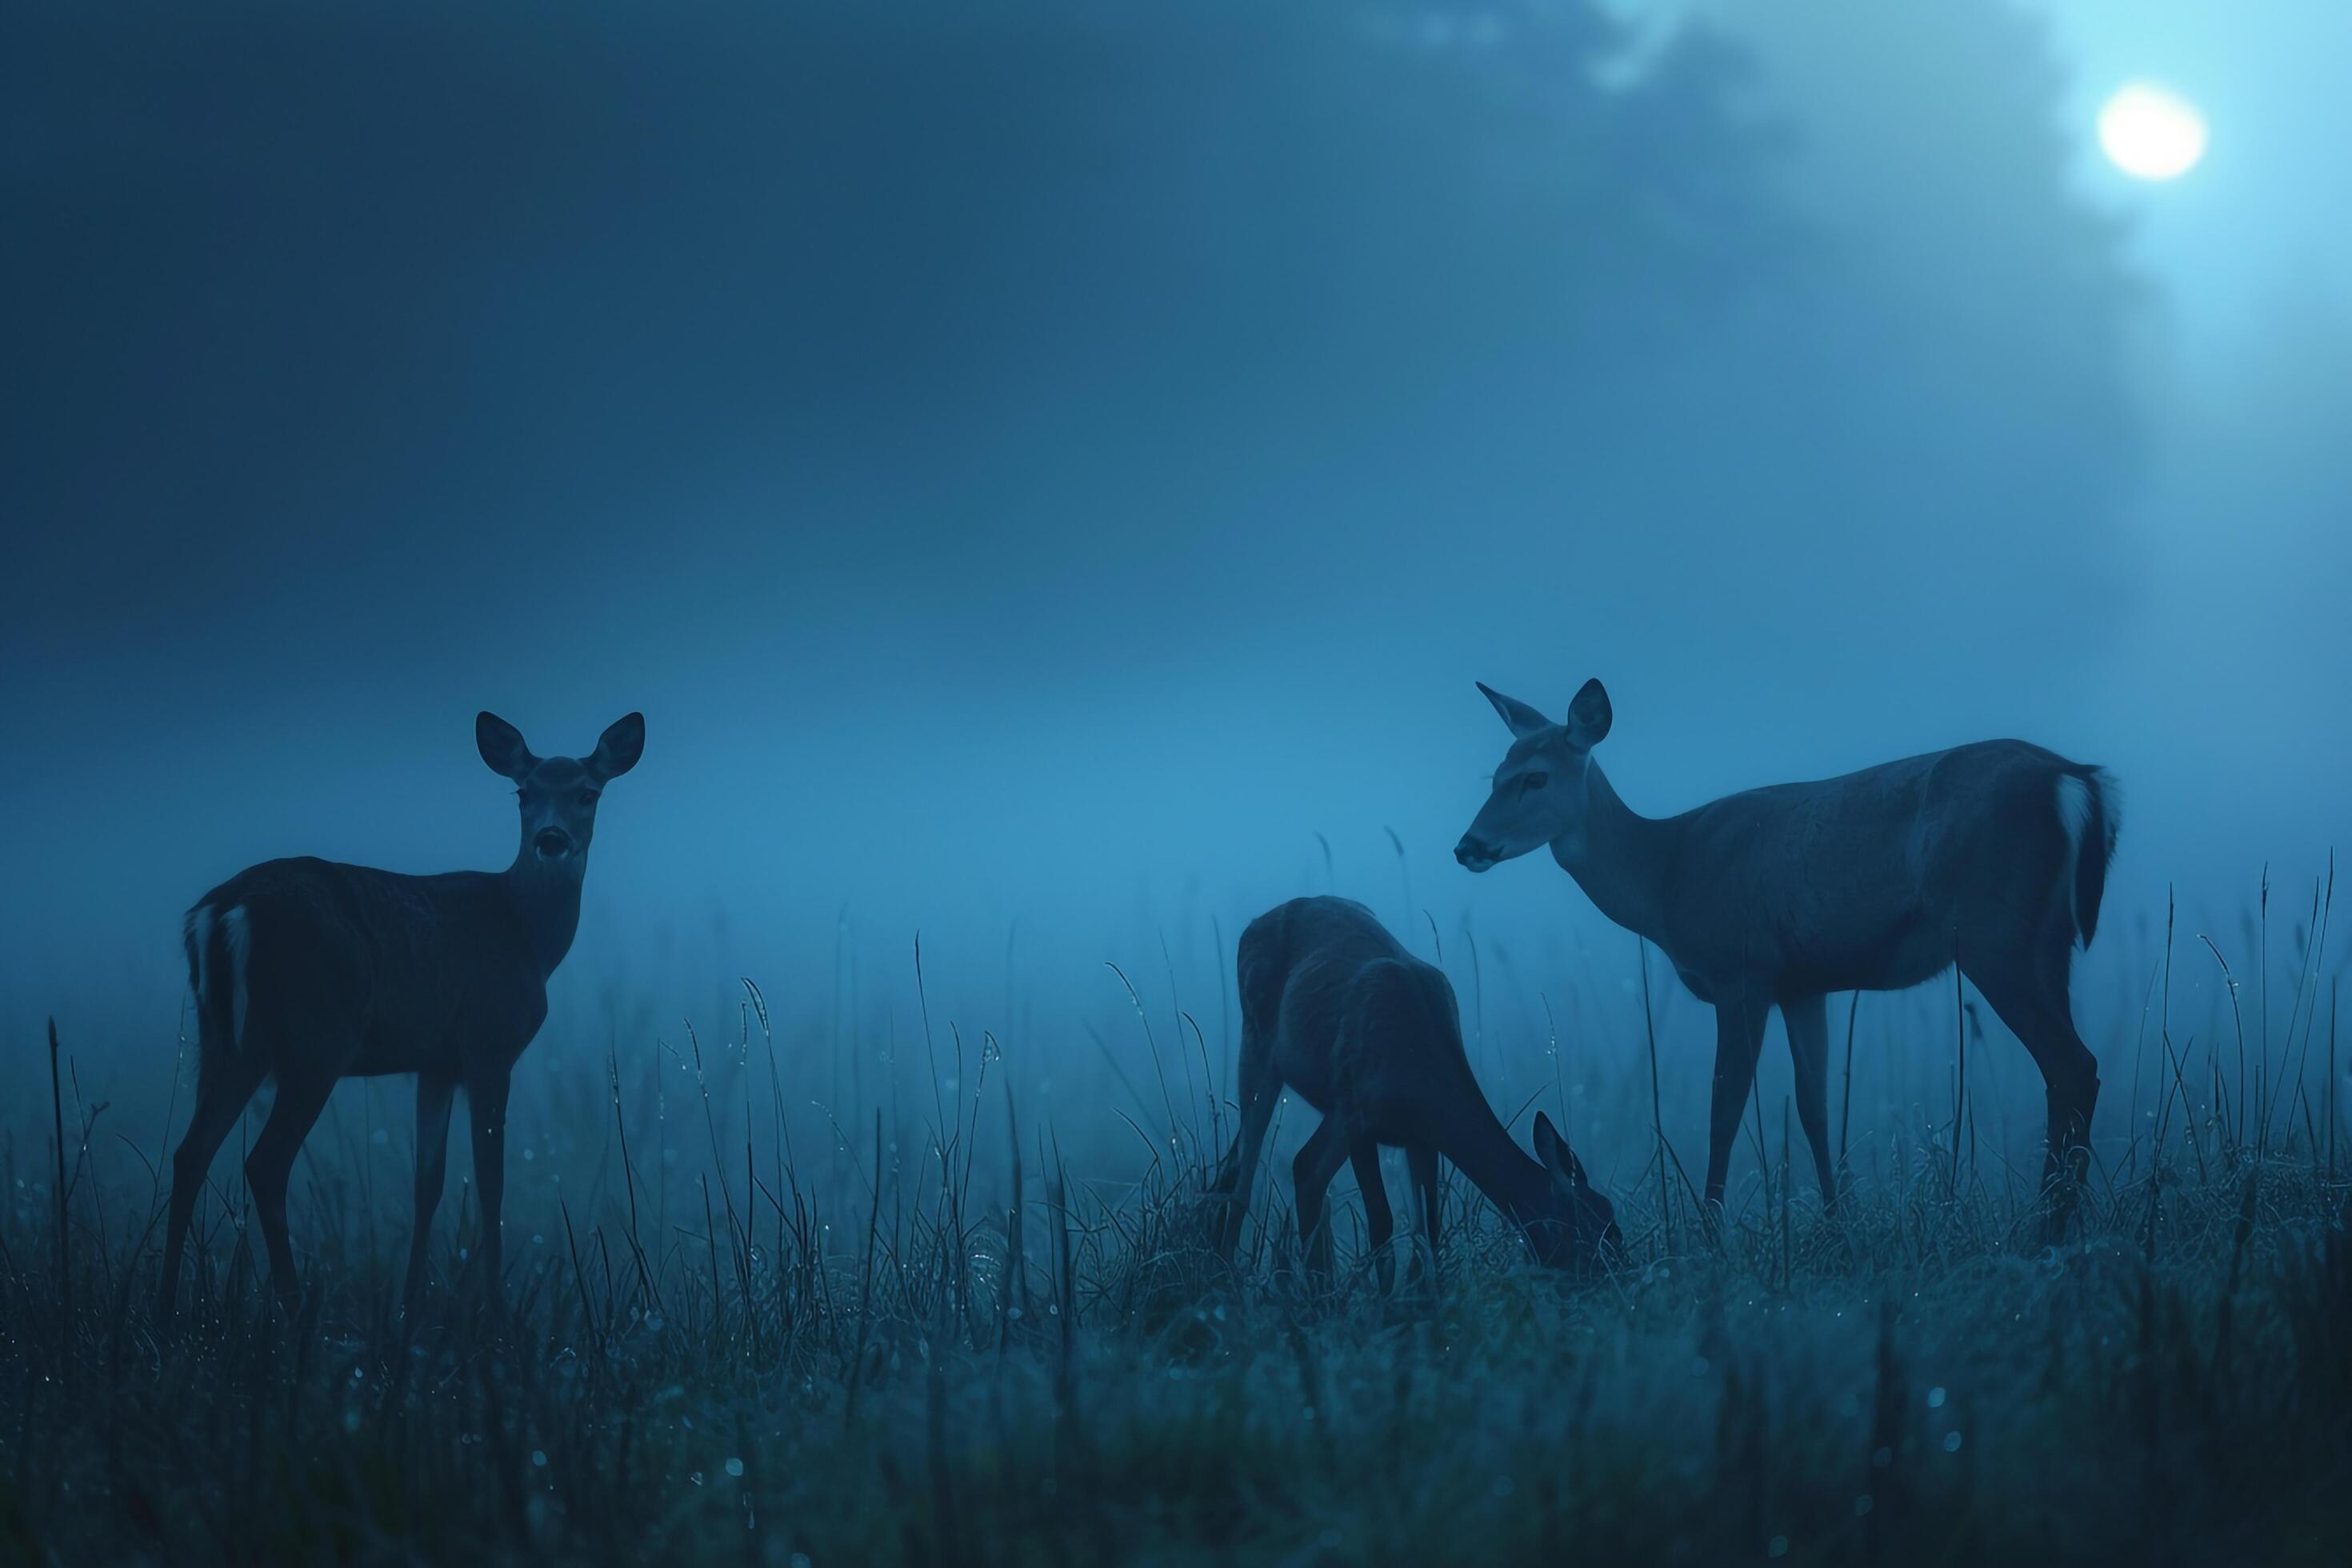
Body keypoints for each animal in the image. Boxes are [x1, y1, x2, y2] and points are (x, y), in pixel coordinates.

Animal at [159, 710, 644, 1316]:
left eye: (586, 792)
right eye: (523, 793)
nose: (551, 839)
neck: (530, 936)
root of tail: (224, 910)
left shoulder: (434, 1063)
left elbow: (427, 1182)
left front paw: (411, 1305)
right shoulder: (490, 1043)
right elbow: (491, 1180)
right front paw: (496, 1310)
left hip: (227, 1041)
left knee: (189, 1154)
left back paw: (164, 1302)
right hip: (318, 1039)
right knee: (265, 1164)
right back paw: (292, 1306)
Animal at [1214, 893, 1618, 1288]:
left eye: (1612, 1219)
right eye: (1589, 1233)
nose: (1619, 1274)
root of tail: (1252, 926)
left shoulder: (1419, 1137)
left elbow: (1428, 1226)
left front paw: (1422, 1292)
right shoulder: (1356, 1114)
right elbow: (1379, 1219)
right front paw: (1382, 1299)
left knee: (1277, 1168)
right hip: (1259, 1042)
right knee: (1245, 1168)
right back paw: (1236, 1271)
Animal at [1449, 677, 2117, 1241]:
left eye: (1535, 778)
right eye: (1494, 776)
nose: (1467, 846)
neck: (1665, 875)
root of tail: (2073, 778)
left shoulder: (1741, 971)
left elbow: (1723, 1109)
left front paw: (1710, 1236)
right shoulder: (1803, 985)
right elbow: (1815, 1107)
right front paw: (1837, 1221)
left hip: (1991, 931)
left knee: (2071, 1064)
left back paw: (2046, 1229)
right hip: (2048, 940)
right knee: (2072, 1070)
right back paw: (2058, 1218)